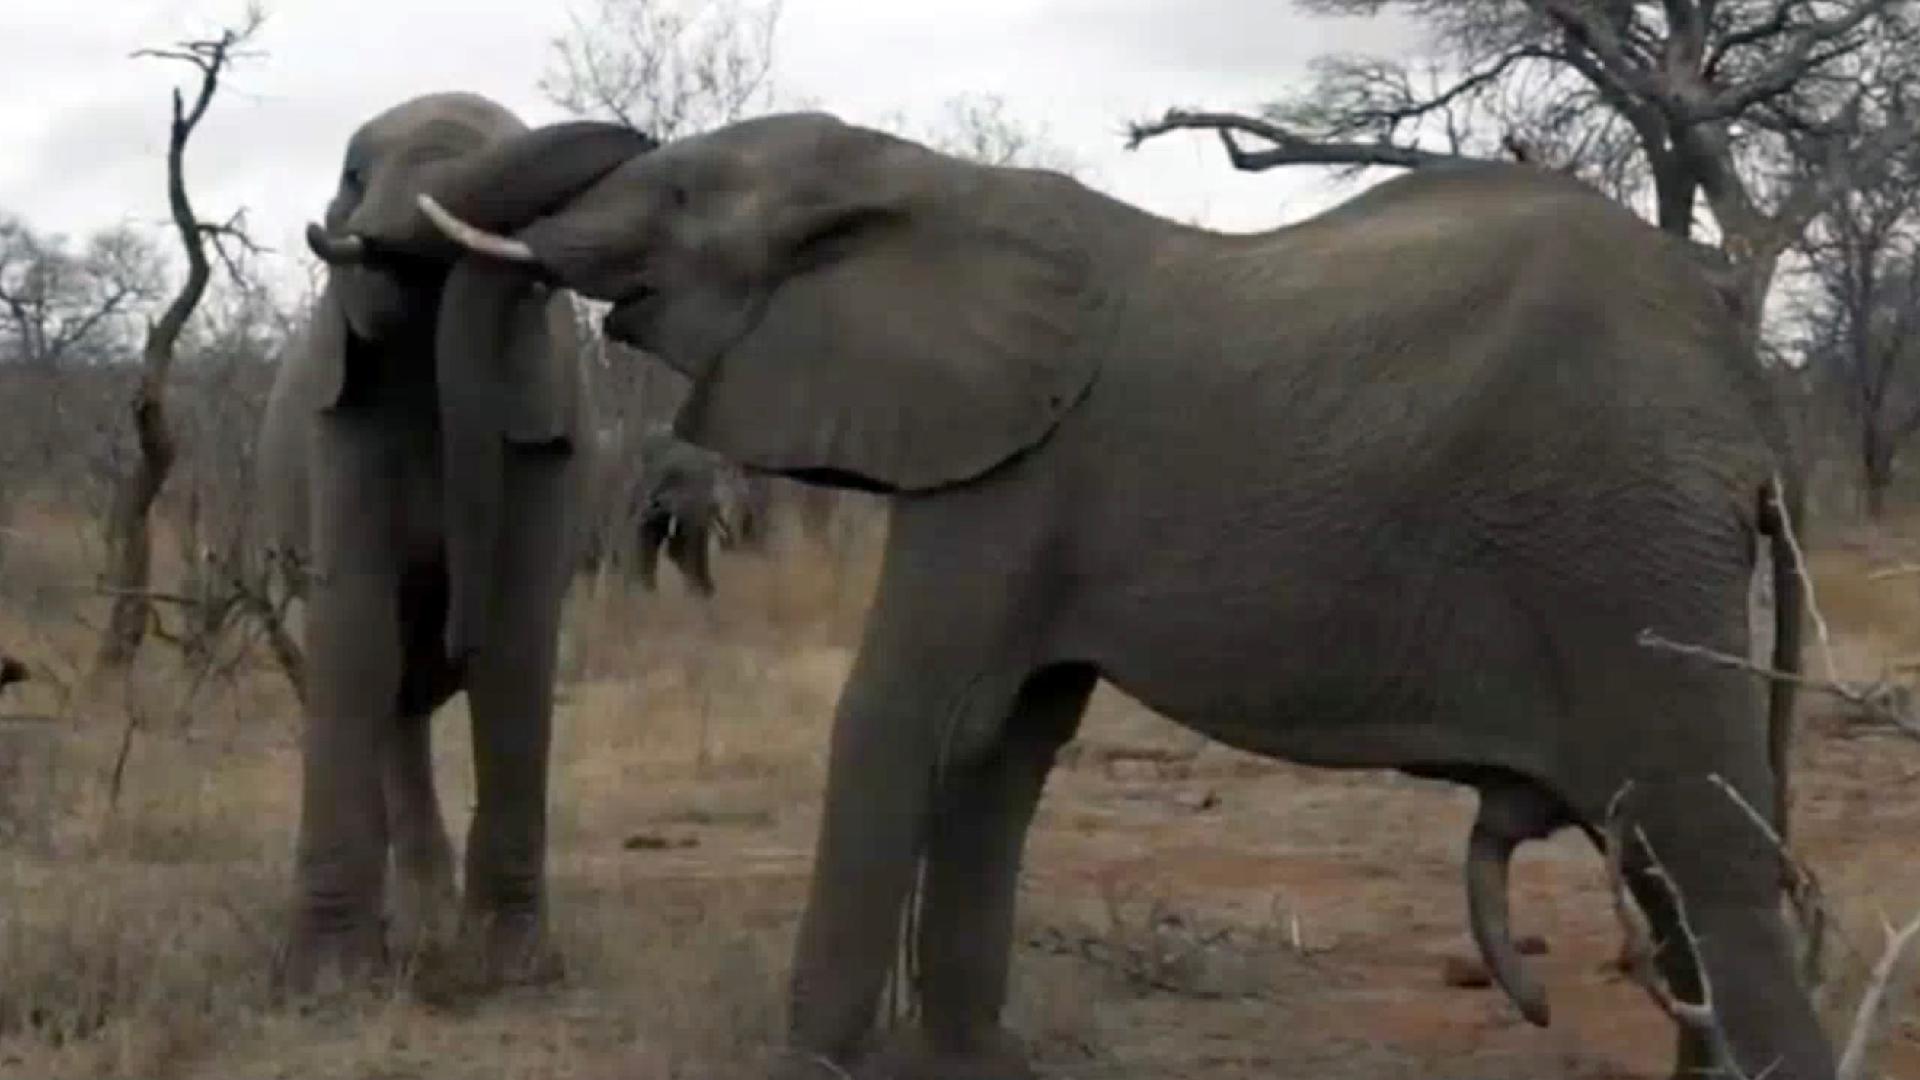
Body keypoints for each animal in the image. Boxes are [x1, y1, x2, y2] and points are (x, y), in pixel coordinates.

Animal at [255, 92, 652, 983]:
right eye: (352, 173)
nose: (642, 140)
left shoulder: (544, 422)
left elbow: (514, 651)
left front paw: (515, 973)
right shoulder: (342, 419)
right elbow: (355, 634)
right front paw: (326, 985)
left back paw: (432, 933)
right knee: (387, 690)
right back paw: (415, 934)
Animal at [341, 111, 1812, 1076]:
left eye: (689, 192)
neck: (926, 183)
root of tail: (1752, 407)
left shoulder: (1009, 471)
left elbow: (900, 719)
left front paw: (816, 1065)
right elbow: (1004, 748)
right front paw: (966, 1063)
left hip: (1624, 541)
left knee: (1718, 858)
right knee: (1676, 862)